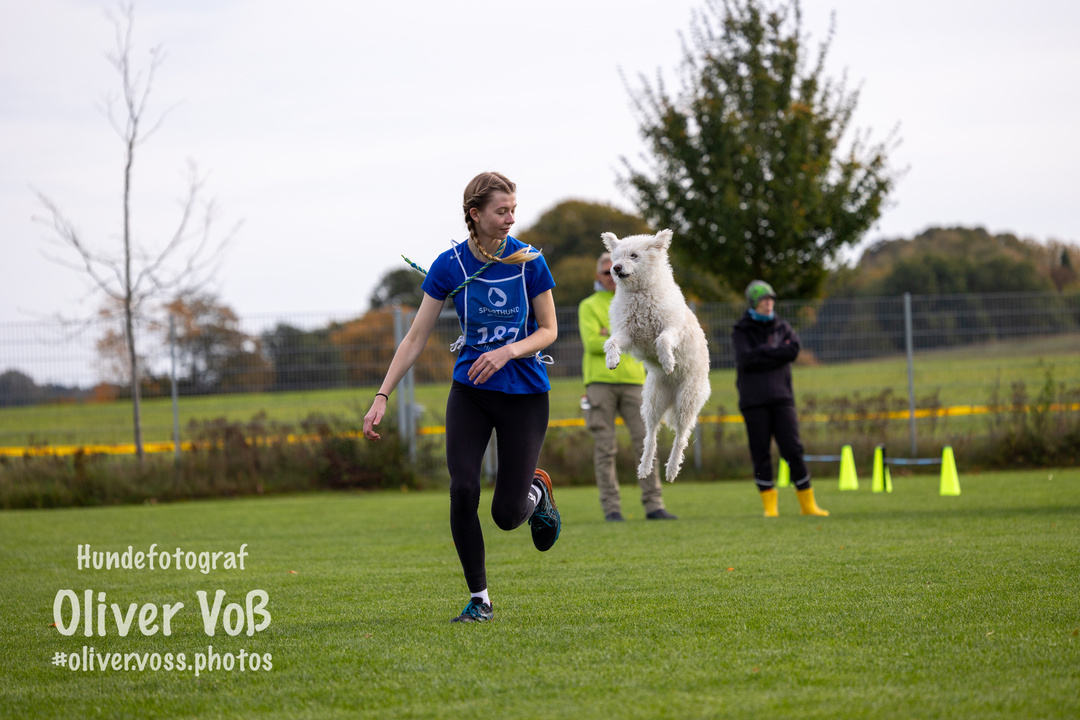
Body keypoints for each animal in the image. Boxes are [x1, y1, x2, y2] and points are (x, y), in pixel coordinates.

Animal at [601, 229, 711, 482]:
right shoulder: (627, 334)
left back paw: (671, 470)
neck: (640, 292)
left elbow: (661, 340)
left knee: (681, 437)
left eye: (634, 255)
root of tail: (672, 393)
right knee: (650, 435)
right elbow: (611, 341)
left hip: (687, 401)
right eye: (616, 257)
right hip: (653, 400)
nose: (616, 268)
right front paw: (612, 360)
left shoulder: (672, 328)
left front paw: (668, 361)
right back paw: (644, 468)